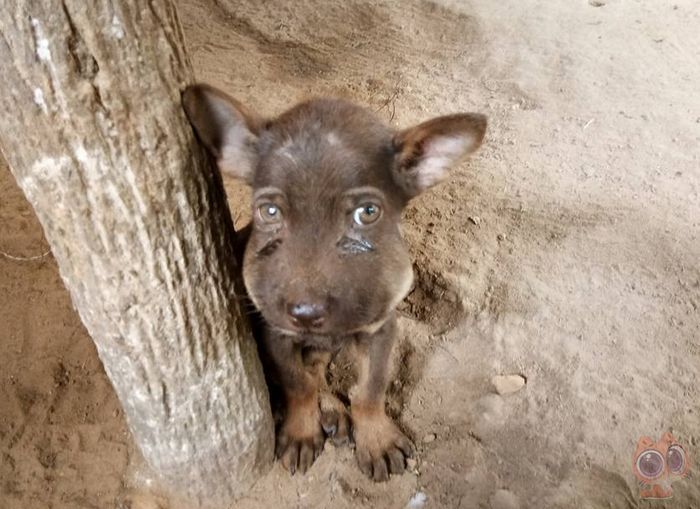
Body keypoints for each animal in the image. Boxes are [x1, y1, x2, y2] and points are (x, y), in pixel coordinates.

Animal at [183, 84, 484, 480]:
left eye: (367, 213)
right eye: (269, 212)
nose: (305, 314)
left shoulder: (381, 329)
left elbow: (371, 389)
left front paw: (376, 438)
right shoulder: (275, 333)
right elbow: (298, 386)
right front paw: (302, 429)